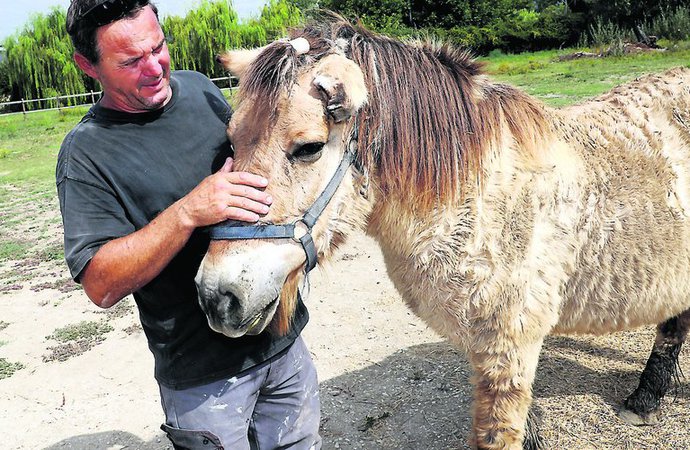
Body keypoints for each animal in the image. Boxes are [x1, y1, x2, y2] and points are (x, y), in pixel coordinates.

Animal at [192, 18, 688, 450]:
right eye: (231, 142)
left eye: (309, 147)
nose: (218, 296)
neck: (479, 194)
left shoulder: (509, 349)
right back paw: (646, 399)